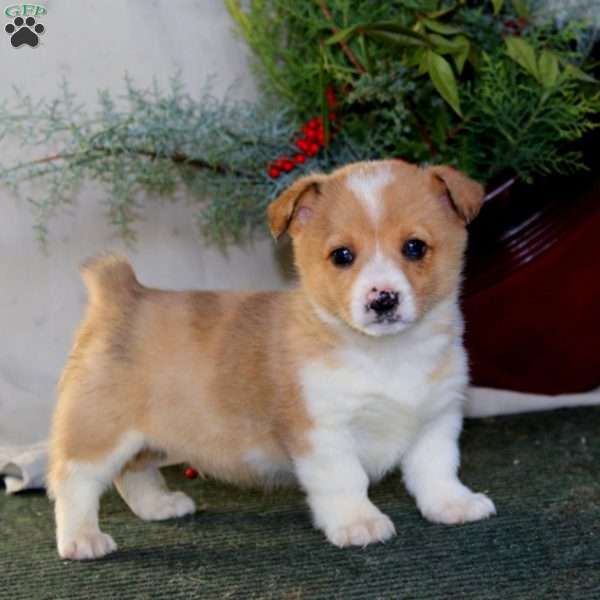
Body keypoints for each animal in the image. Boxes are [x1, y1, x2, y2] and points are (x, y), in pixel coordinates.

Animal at [49, 157, 494, 560]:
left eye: (414, 247)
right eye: (342, 255)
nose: (382, 299)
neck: (386, 356)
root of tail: (121, 293)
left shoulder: (436, 420)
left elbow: (437, 470)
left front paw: (453, 505)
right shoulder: (323, 433)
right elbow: (345, 480)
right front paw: (358, 523)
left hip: (150, 437)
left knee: (133, 473)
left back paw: (160, 506)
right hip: (100, 433)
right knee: (74, 481)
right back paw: (82, 540)